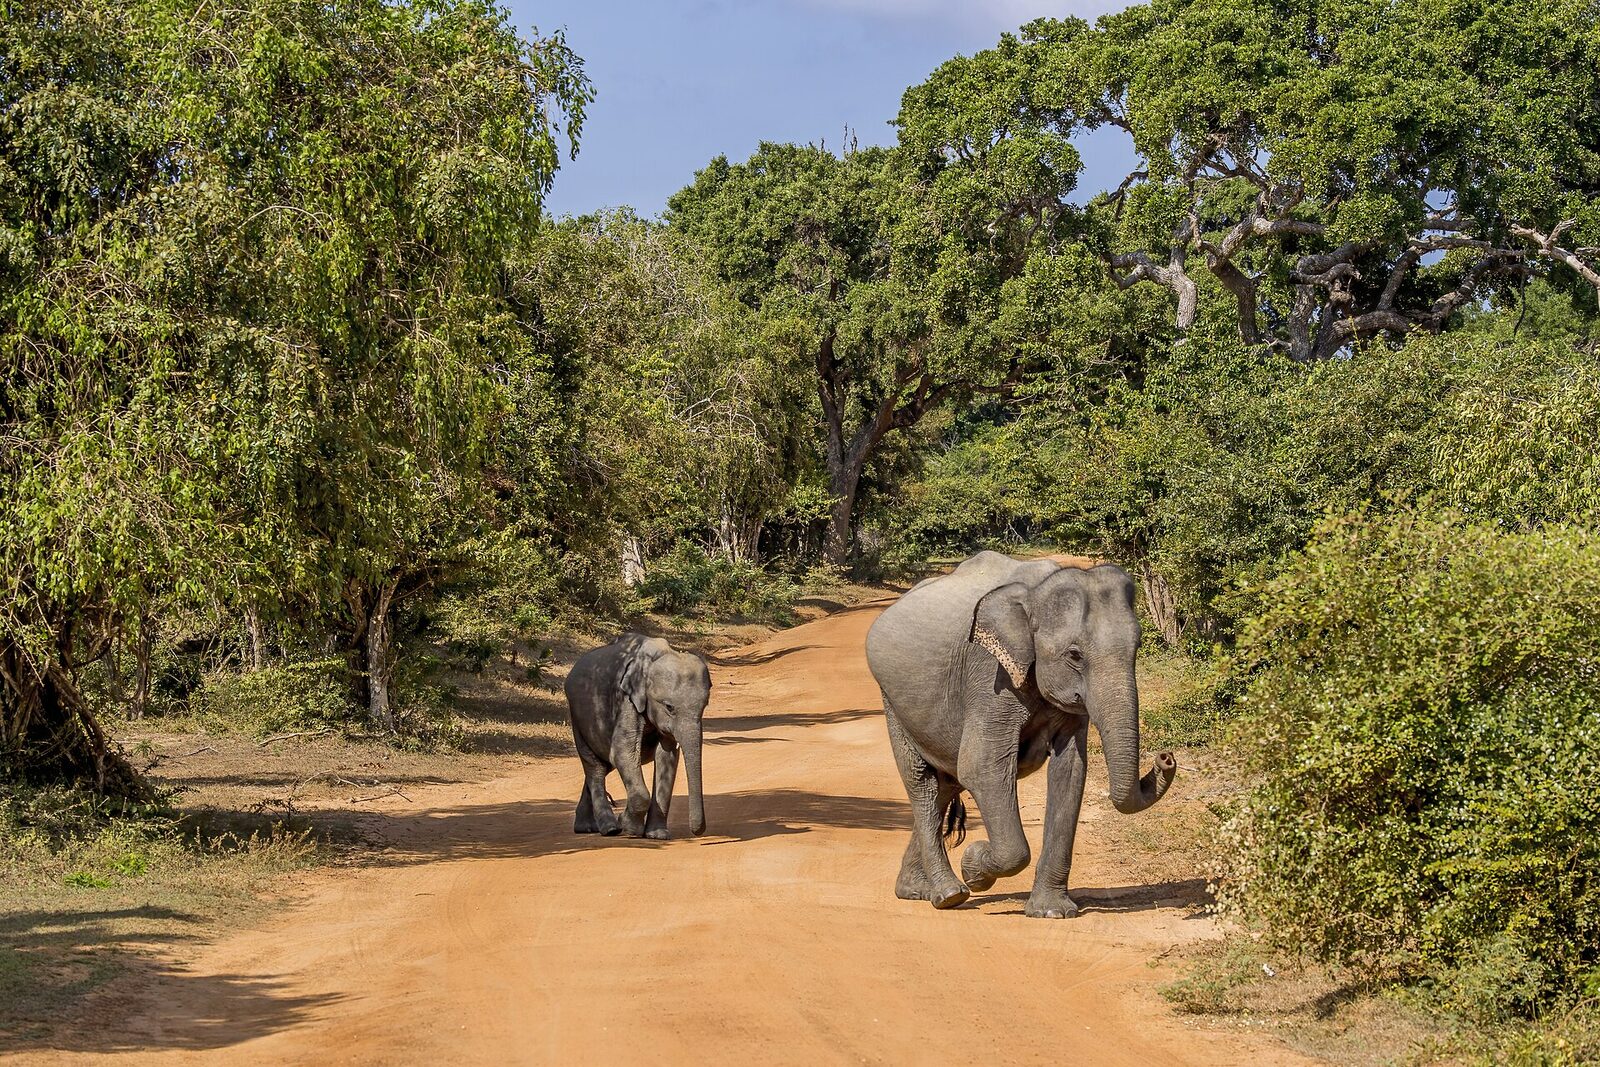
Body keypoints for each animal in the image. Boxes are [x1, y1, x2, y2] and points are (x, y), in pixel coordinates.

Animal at [564, 633, 710, 839]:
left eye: (705, 705)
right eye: (669, 707)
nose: (697, 832)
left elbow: (666, 756)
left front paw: (657, 835)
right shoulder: (626, 700)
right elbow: (622, 752)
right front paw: (628, 827)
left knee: (603, 764)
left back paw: (586, 827)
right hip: (578, 718)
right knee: (595, 766)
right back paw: (609, 828)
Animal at [865, 551, 1176, 918]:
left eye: (1137, 647)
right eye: (1074, 655)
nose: (1166, 758)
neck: (1035, 595)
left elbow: (1070, 771)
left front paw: (1052, 912)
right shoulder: (988, 675)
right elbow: (982, 767)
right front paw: (974, 867)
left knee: (946, 785)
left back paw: (915, 890)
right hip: (892, 702)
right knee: (922, 784)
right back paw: (949, 894)